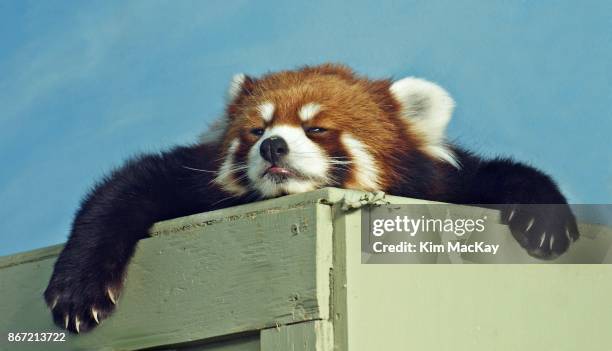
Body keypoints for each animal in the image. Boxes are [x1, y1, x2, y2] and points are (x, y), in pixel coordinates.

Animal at [43, 64, 580, 334]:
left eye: (316, 128)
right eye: (256, 130)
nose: (272, 146)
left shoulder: (441, 181)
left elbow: (495, 174)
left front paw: (546, 224)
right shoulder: (191, 179)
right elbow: (124, 189)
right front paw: (78, 289)